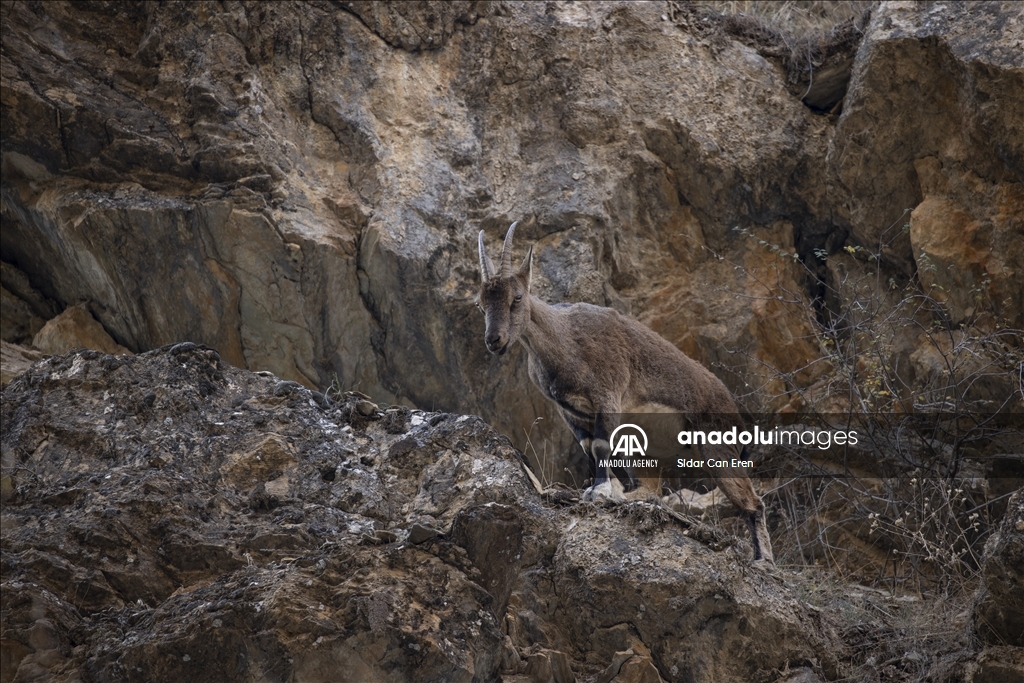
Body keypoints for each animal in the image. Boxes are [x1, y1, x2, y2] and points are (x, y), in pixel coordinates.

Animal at [475, 224, 770, 565]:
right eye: (480, 303)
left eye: (517, 297)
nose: (494, 340)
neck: (565, 342)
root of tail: (734, 410)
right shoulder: (570, 412)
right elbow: (589, 447)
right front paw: (604, 490)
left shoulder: (608, 395)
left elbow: (601, 446)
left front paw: (600, 492)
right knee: (654, 491)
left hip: (717, 449)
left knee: (751, 503)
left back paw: (764, 561)